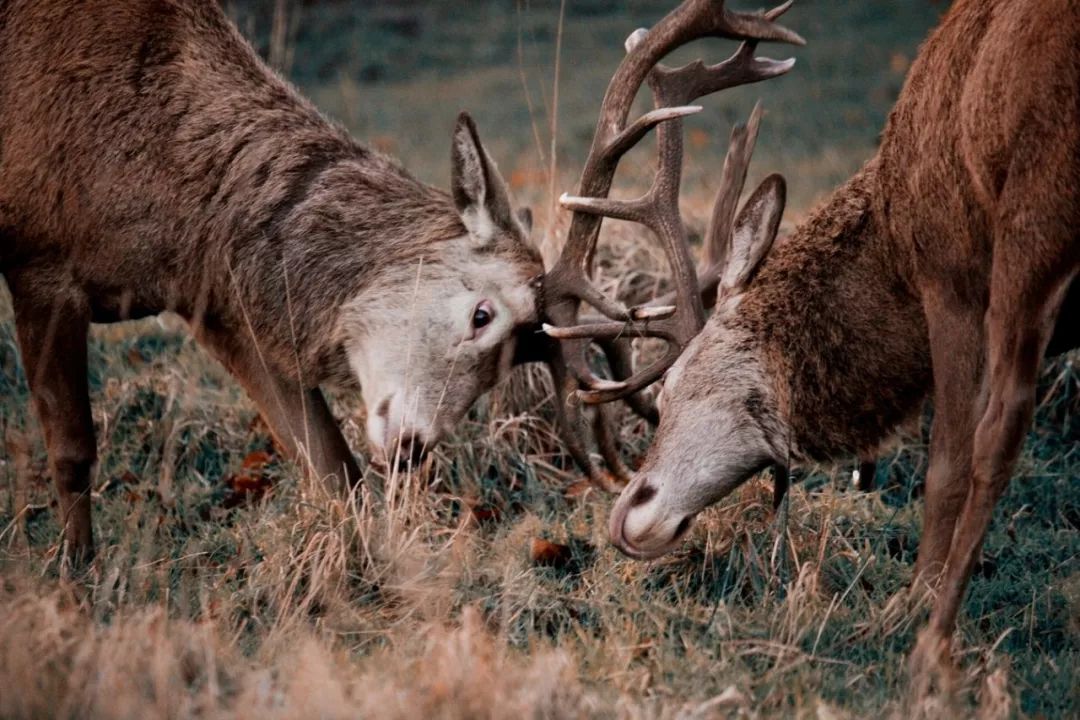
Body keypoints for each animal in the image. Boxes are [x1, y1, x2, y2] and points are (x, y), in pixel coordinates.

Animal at [533, 0, 1080, 690]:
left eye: (674, 383)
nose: (629, 514)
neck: (893, 251)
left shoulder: (951, 276)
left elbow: (949, 463)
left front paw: (913, 606)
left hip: (1036, 208)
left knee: (1001, 426)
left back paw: (931, 644)